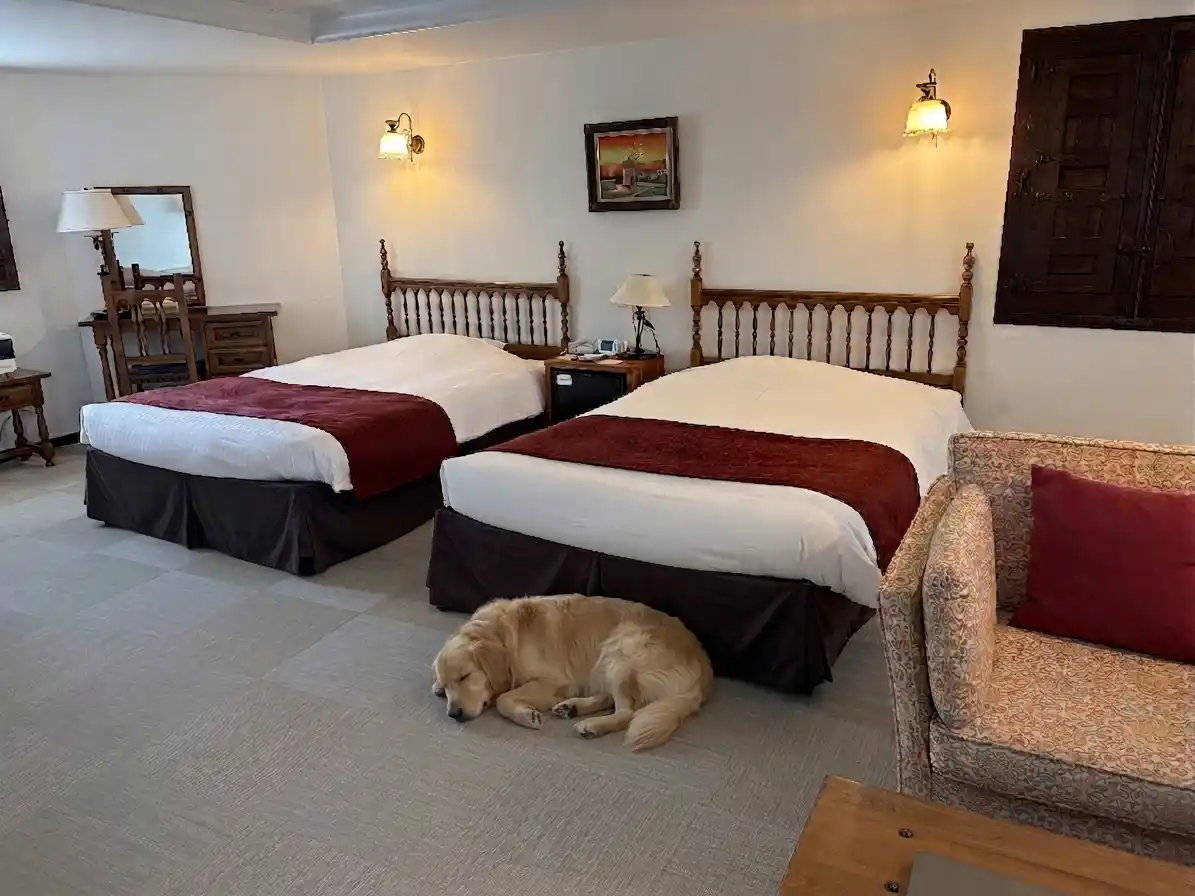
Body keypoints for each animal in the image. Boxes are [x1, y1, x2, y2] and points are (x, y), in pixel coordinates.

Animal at [432, 594, 713, 751]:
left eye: (465, 676)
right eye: (447, 686)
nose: (454, 714)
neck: (504, 636)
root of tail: (704, 666)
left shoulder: (553, 680)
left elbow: (503, 698)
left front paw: (526, 715)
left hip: (621, 649)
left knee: (627, 711)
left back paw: (592, 725)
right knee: (608, 698)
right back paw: (572, 708)